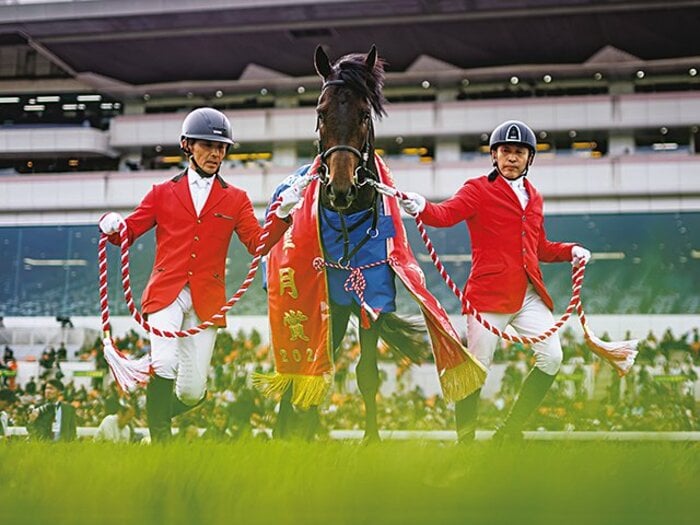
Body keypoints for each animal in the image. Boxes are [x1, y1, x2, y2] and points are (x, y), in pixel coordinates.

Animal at [271, 45, 430, 442]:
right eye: (320, 111)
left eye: (363, 113)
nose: (340, 189)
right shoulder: (322, 298)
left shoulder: (369, 295)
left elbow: (366, 373)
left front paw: (370, 440)